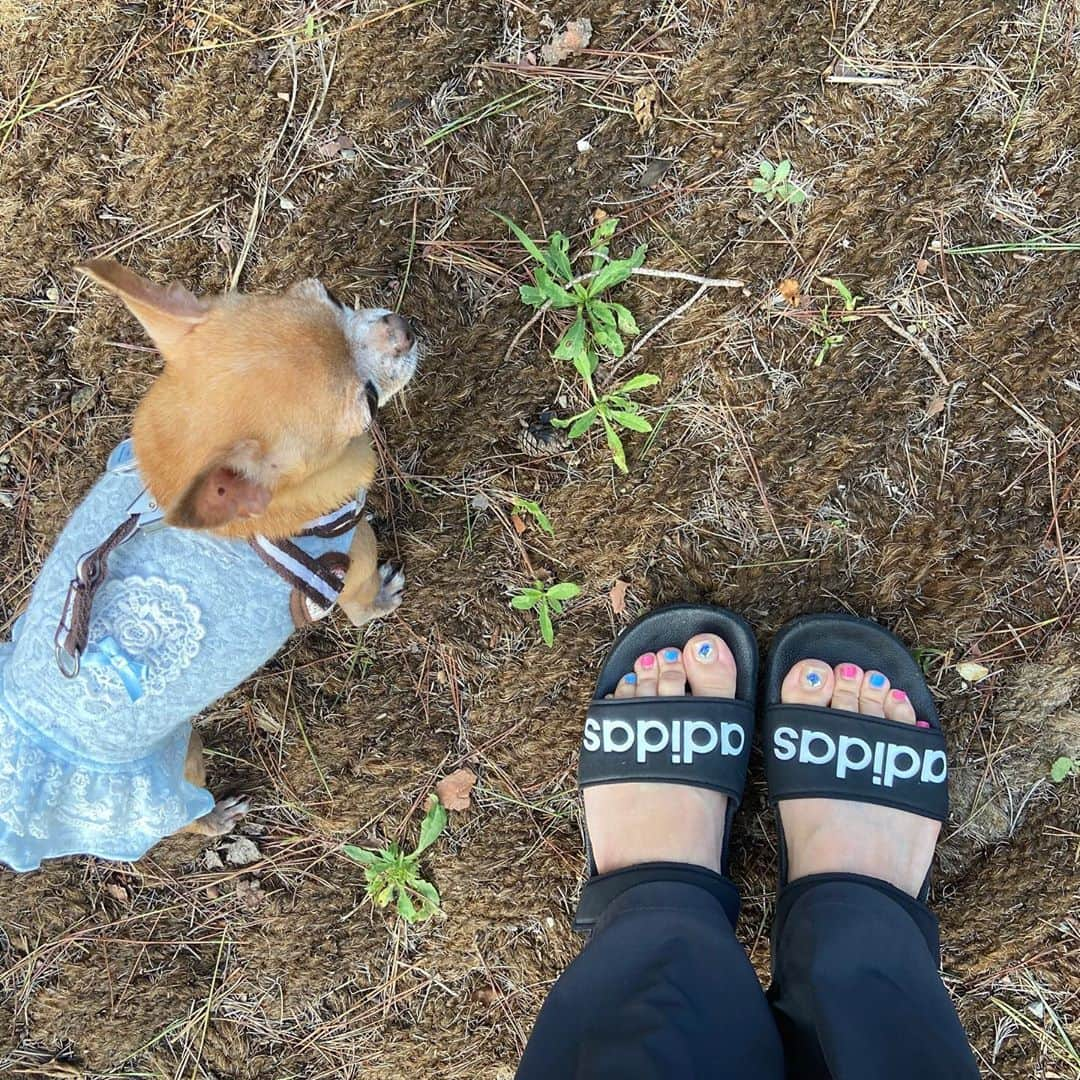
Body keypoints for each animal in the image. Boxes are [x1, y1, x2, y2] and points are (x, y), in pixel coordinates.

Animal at [0, 261, 416, 868]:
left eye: (337, 299)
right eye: (366, 399)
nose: (404, 327)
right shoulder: (345, 564)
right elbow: (362, 607)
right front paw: (384, 600)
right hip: (178, 761)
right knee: (178, 816)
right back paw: (215, 818)